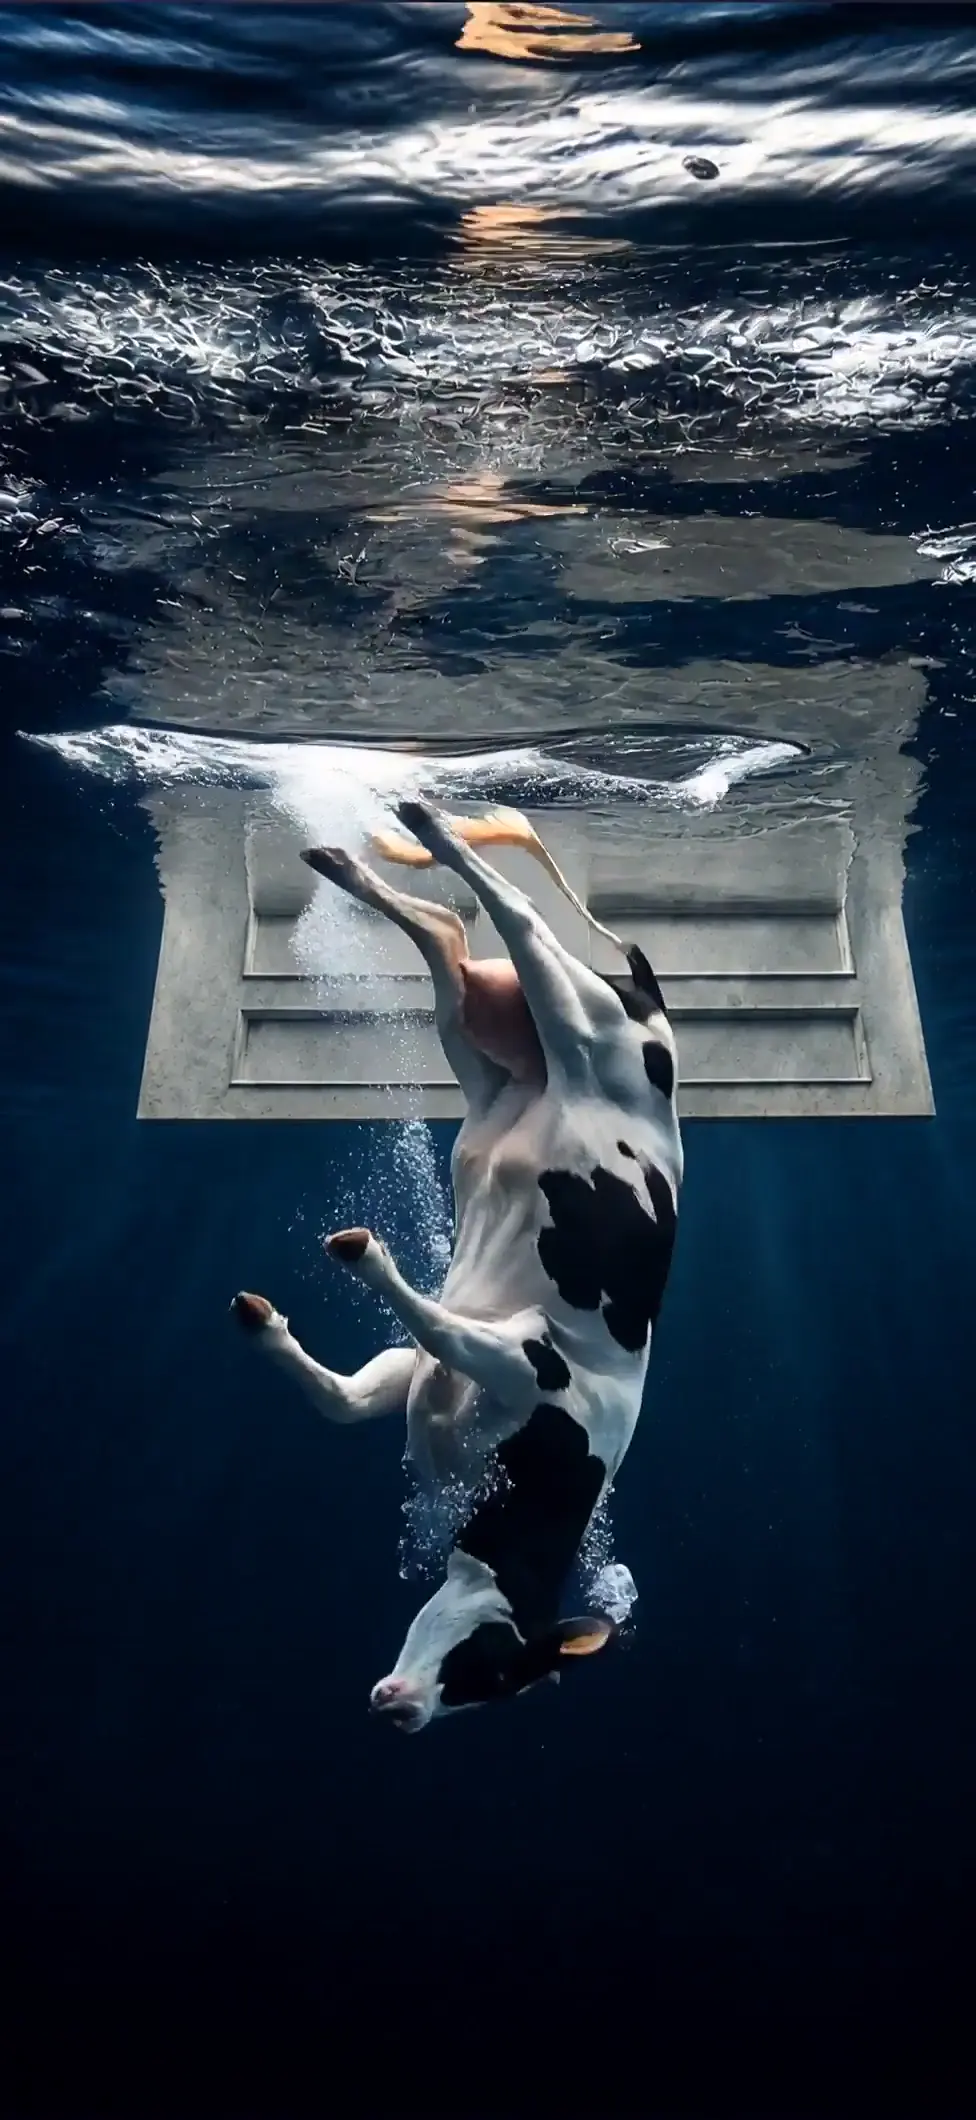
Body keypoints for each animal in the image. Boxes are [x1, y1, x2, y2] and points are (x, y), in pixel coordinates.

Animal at [232, 798, 682, 1732]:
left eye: (487, 1689)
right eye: (489, 1663)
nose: (401, 1713)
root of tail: (652, 1003)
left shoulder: (420, 1372)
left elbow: (342, 1396)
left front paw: (264, 1321)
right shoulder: (519, 1358)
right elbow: (430, 1322)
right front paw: (363, 1254)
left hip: (478, 1044)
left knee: (447, 932)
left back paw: (346, 855)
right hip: (577, 1020)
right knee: (518, 914)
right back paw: (423, 818)